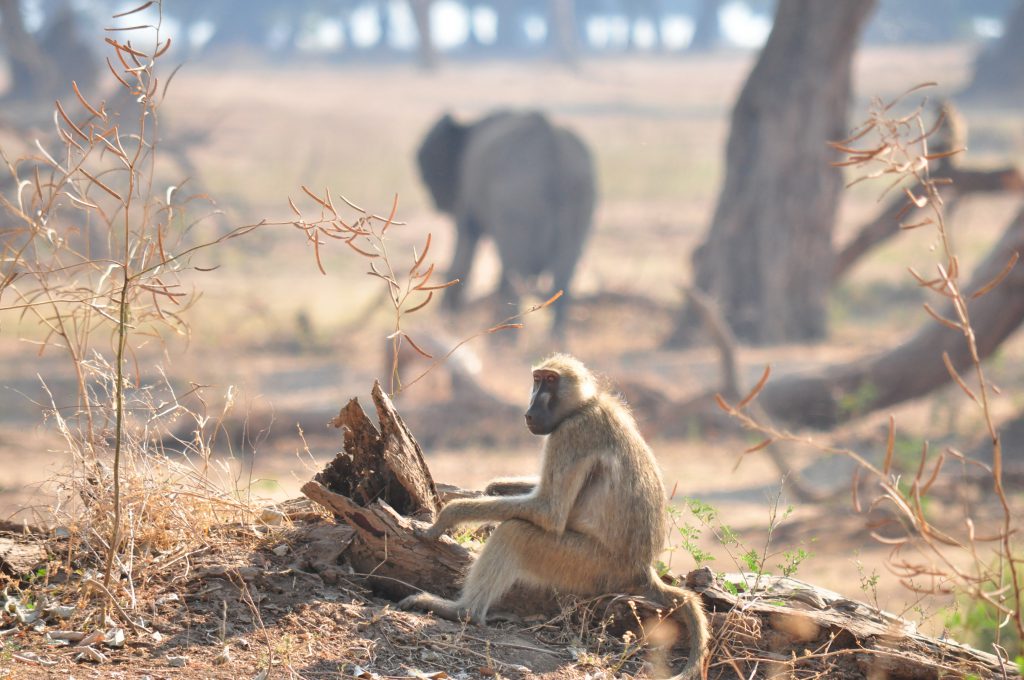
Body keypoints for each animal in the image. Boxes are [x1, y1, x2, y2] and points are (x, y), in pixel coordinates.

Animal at [413, 110, 593, 335]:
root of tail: (553, 145)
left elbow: (465, 244)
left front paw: (447, 322)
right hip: (580, 196)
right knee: (563, 272)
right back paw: (554, 337)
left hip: (514, 199)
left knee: (514, 269)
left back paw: (503, 338)